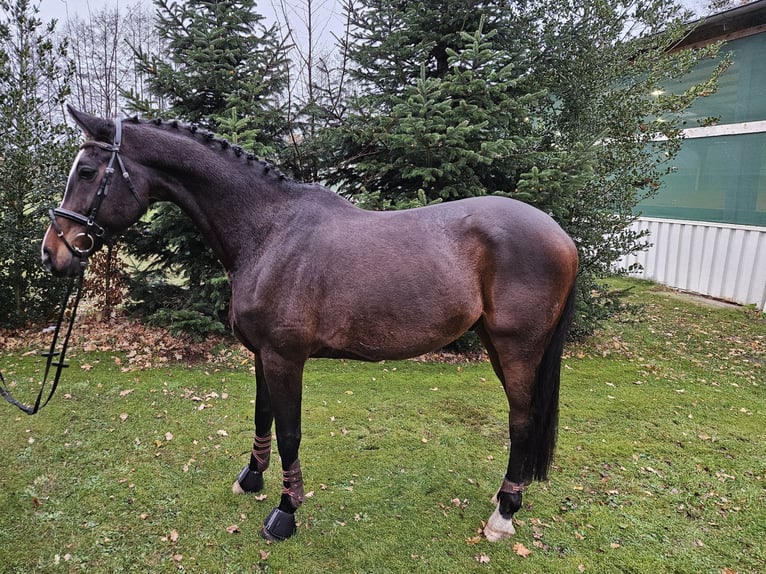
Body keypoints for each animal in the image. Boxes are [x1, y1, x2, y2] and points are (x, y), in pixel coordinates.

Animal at [42, 108, 580, 544]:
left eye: (86, 171)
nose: (53, 253)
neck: (268, 232)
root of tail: (562, 237)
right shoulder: (261, 354)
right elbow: (262, 417)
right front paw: (251, 479)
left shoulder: (286, 357)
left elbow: (289, 433)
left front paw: (285, 513)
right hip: (497, 344)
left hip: (517, 348)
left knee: (521, 419)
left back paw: (503, 514)